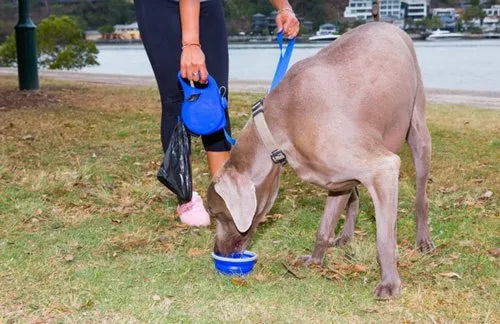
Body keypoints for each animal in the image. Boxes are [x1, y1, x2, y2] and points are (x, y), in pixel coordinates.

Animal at [206, 22, 434, 298]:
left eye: (217, 213)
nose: (218, 251)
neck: (280, 127)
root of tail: (388, 24)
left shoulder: (383, 168)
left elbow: (384, 239)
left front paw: (390, 283)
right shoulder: (334, 179)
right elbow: (323, 227)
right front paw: (315, 260)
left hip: (417, 128)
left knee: (421, 197)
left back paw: (423, 240)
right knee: (354, 198)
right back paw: (345, 236)